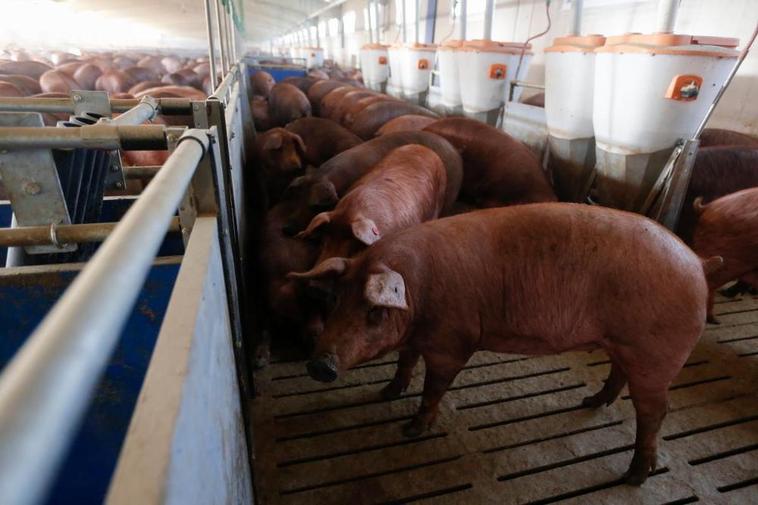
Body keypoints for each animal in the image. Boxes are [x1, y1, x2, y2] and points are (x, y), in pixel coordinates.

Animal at [298, 203, 720, 482]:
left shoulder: (453, 342)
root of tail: (698, 263)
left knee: (656, 412)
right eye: (335, 300)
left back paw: (634, 476)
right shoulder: (416, 338)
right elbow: (405, 361)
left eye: (374, 311)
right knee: (618, 376)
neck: (418, 297)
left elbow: (433, 388)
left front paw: (411, 429)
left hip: (656, 356)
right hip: (624, 344)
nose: (320, 365)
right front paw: (387, 393)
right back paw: (590, 402)